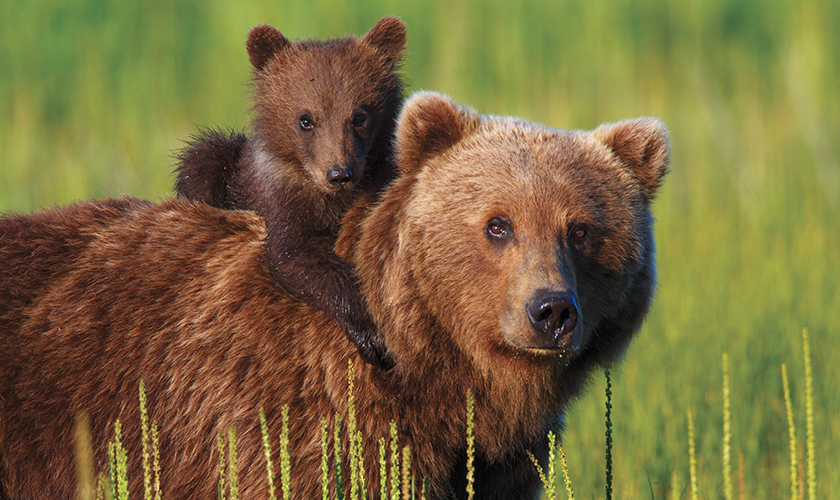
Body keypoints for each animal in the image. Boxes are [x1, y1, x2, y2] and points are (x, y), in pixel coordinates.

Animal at [176, 16, 406, 369]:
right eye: (305, 119)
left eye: (359, 116)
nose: (339, 173)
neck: (326, 199)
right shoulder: (279, 202)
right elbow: (295, 255)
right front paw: (372, 335)